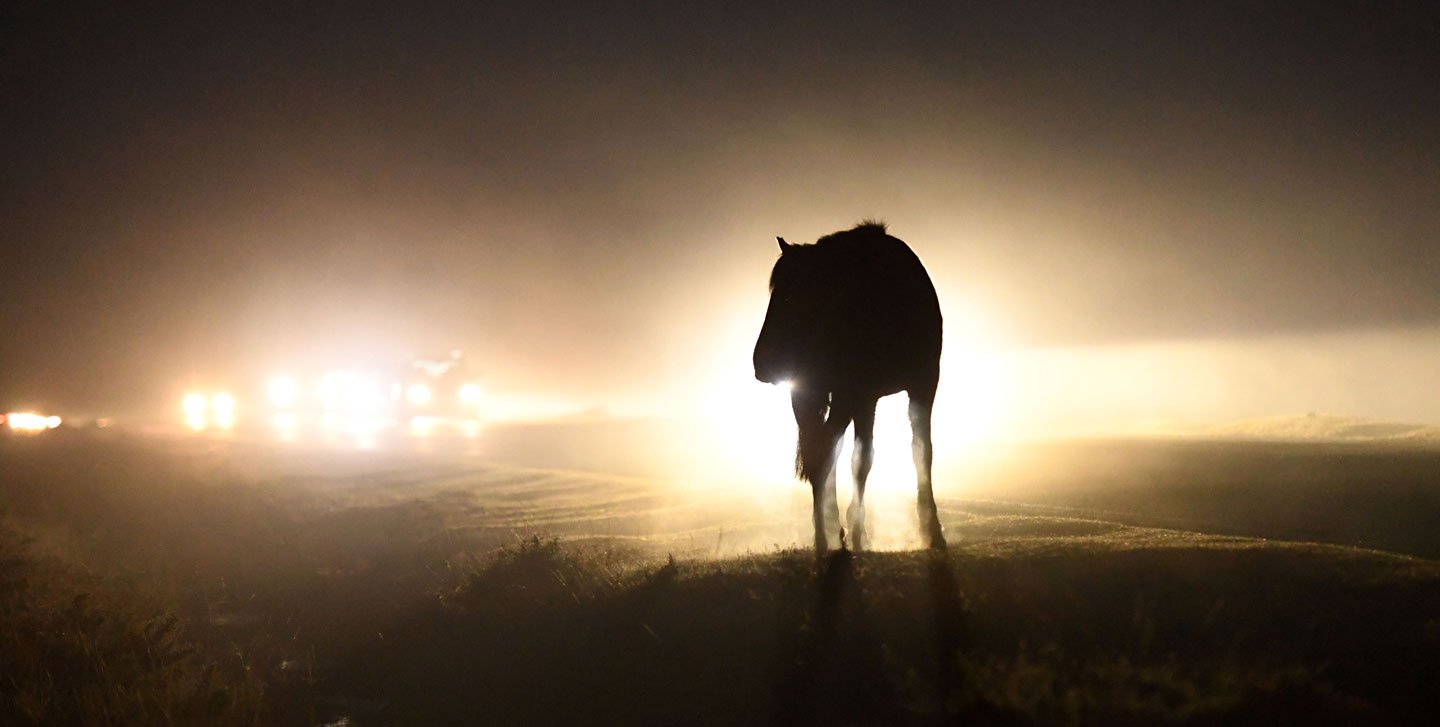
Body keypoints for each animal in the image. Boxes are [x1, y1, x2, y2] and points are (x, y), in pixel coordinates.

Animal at [753, 221, 945, 553]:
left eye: (792, 297)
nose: (762, 363)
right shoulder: (860, 393)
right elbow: (860, 458)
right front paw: (856, 531)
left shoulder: (917, 384)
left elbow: (918, 451)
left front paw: (927, 528)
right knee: (824, 452)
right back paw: (827, 532)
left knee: (825, 451)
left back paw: (828, 530)